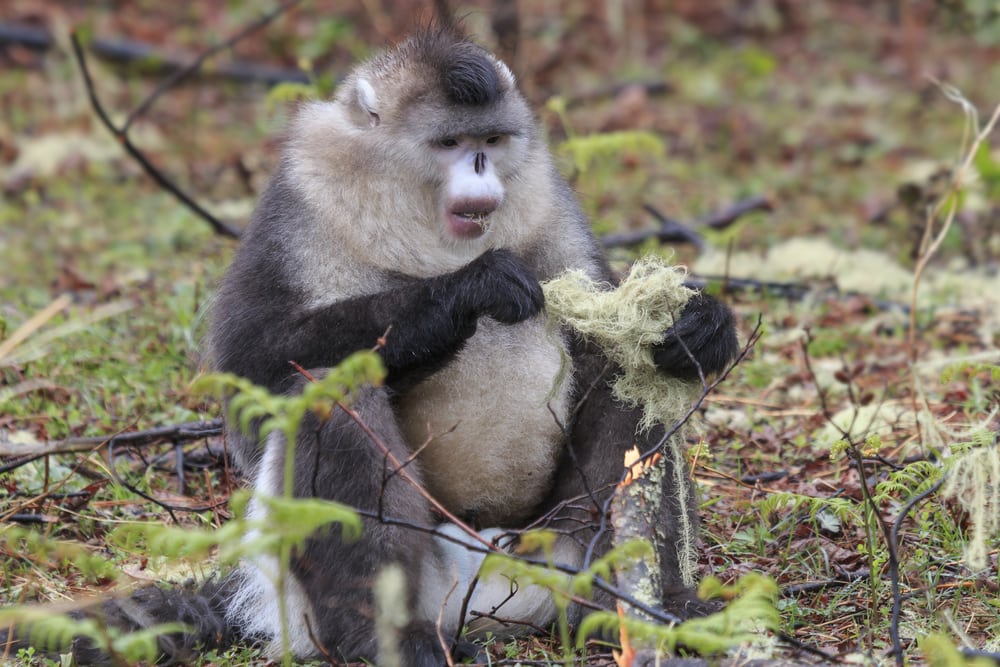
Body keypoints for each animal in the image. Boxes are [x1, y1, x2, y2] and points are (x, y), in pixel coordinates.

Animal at [1, 29, 738, 667]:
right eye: (450, 142)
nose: (481, 169)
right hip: (323, 591)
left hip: (549, 543)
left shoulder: (548, 203)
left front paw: (700, 324)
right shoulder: (298, 203)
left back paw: (641, 606)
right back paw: (387, 637)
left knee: (638, 370)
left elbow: (606, 341)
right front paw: (462, 293)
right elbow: (251, 369)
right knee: (331, 386)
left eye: (491, 140)